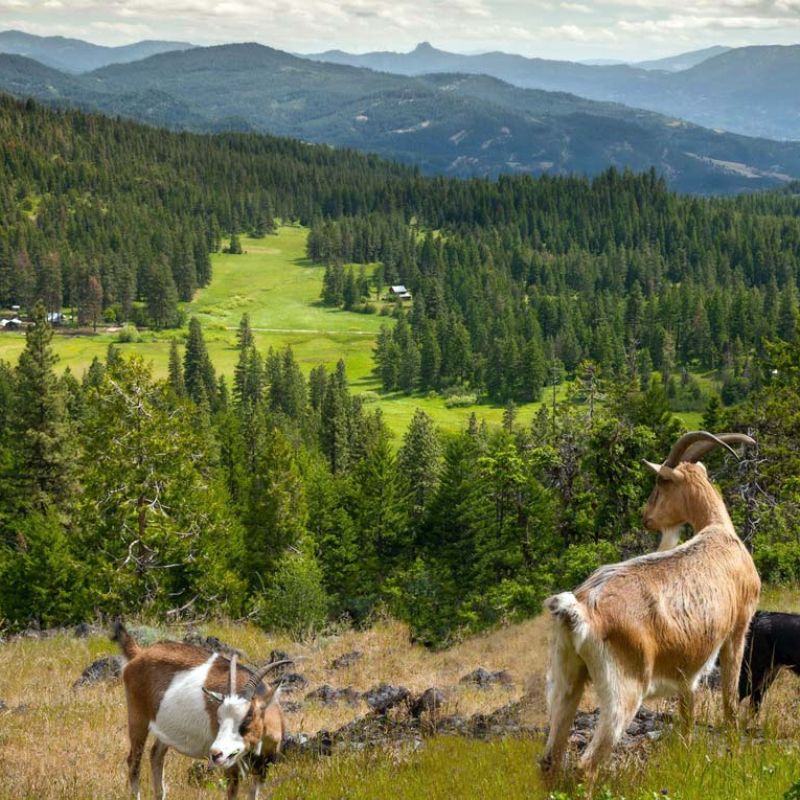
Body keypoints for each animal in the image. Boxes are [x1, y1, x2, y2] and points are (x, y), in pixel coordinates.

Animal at [113, 621, 287, 800]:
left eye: (248, 718)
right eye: (218, 719)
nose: (216, 753)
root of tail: (139, 654)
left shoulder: (261, 771)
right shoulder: (231, 768)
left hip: (164, 731)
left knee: (155, 755)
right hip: (137, 717)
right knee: (133, 761)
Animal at [540, 431, 760, 779]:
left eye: (660, 481)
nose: (646, 518)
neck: (719, 533)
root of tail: (580, 608)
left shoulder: (687, 665)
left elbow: (687, 715)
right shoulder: (738, 627)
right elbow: (728, 698)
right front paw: (733, 753)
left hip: (567, 676)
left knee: (550, 757)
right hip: (623, 690)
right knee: (587, 764)